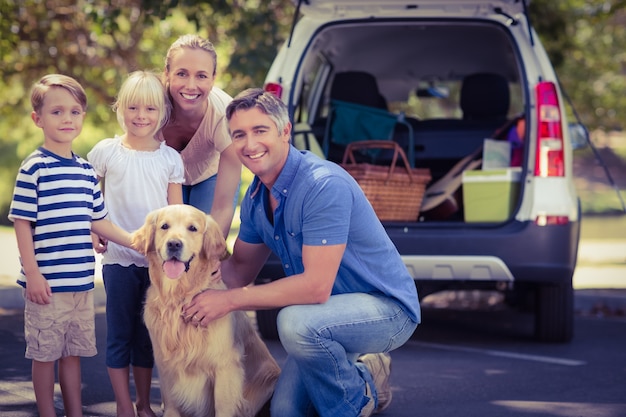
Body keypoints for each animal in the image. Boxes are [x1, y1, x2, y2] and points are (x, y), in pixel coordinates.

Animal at [132, 205, 280, 416]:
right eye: (164, 226)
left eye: (192, 228)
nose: (174, 244)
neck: (179, 297)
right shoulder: (165, 366)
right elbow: (171, 404)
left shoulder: (225, 366)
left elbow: (223, 408)